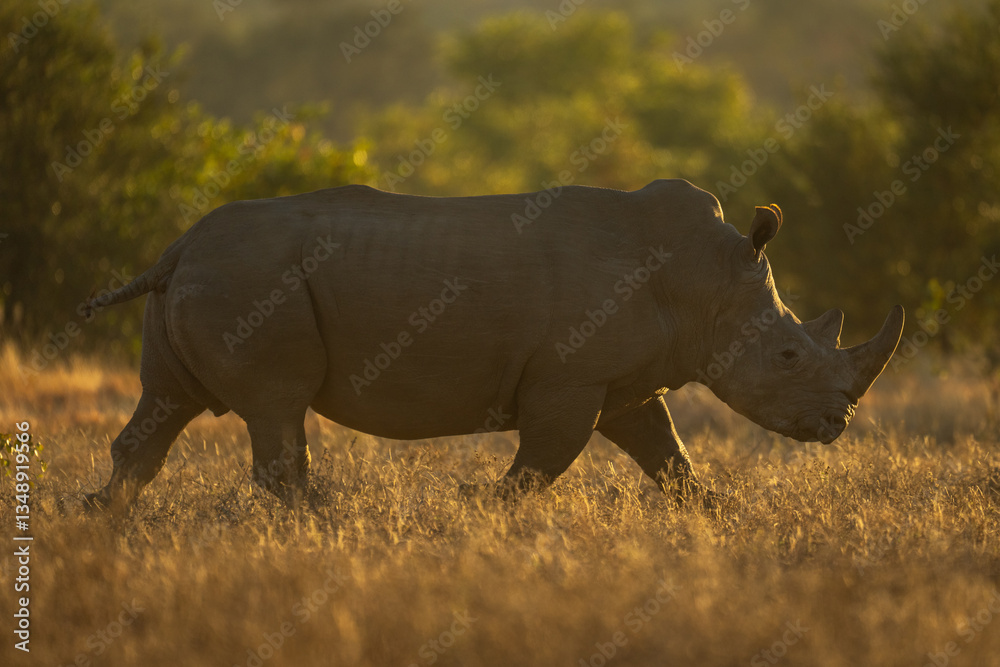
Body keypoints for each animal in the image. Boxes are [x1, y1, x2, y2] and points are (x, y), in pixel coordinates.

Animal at [84, 179, 903, 511]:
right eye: (789, 357)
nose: (839, 423)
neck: (706, 281)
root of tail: (177, 247)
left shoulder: (624, 383)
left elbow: (670, 459)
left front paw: (713, 516)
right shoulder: (570, 378)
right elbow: (543, 461)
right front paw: (476, 507)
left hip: (210, 275)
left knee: (166, 403)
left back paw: (103, 517)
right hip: (251, 280)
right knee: (275, 408)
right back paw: (316, 523)